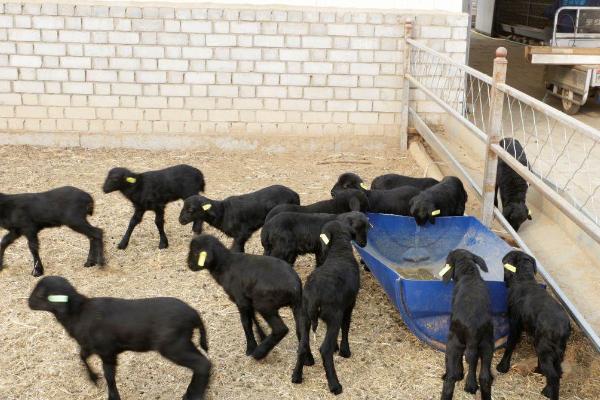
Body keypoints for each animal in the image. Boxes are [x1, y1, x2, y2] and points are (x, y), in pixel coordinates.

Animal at [28, 276, 211, 400]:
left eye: (40, 294)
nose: (28, 302)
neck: (77, 312)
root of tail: (194, 315)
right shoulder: (91, 346)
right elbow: (82, 356)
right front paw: (93, 379)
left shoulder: (107, 352)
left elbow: (109, 376)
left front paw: (112, 395)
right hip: (183, 342)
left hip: (174, 345)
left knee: (203, 364)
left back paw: (193, 395)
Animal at [290, 220, 366, 396]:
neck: (339, 252)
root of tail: (314, 296)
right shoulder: (348, 306)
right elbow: (346, 327)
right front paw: (344, 351)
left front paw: (338, 347)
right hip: (333, 316)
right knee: (325, 349)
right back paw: (335, 385)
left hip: (304, 316)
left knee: (302, 345)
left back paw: (296, 377)